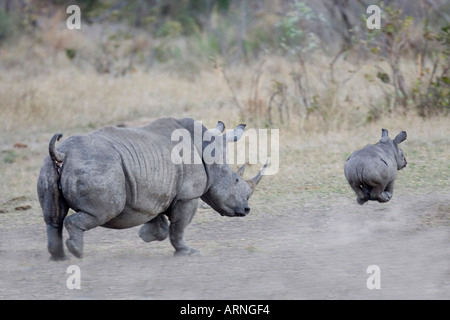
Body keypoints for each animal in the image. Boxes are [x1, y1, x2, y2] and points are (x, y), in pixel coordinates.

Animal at [37, 117, 268, 260]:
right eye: (236, 180)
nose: (246, 210)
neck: (208, 150)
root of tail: (63, 153)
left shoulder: (154, 192)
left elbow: (159, 219)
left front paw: (146, 235)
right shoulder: (188, 194)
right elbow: (179, 227)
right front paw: (187, 252)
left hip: (49, 168)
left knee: (53, 218)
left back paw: (59, 257)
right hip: (99, 167)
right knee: (102, 212)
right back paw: (77, 253)